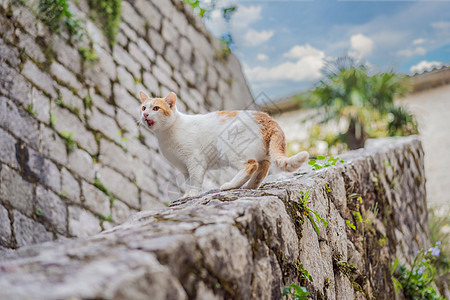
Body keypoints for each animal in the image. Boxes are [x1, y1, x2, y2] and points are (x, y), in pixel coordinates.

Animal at [139, 91, 310, 199]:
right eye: (143, 107)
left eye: (156, 108)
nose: (145, 114)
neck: (166, 134)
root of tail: (268, 118)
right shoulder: (185, 169)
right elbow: (188, 182)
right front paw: (186, 194)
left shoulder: (195, 161)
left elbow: (195, 181)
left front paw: (192, 194)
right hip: (261, 155)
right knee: (263, 167)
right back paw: (249, 187)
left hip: (227, 147)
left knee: (251, 165)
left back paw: (230, 186)